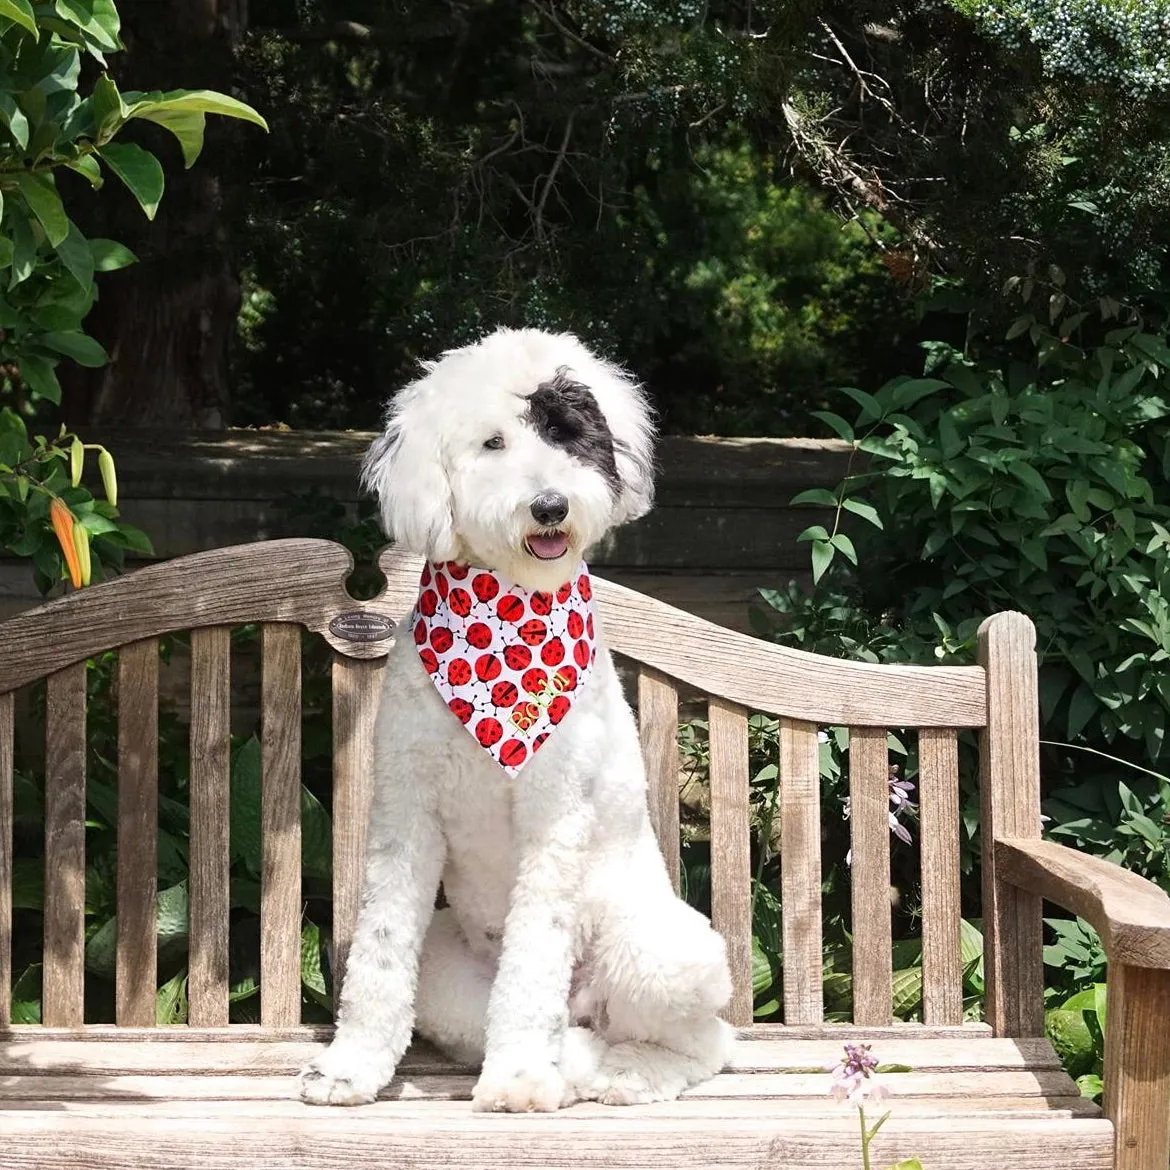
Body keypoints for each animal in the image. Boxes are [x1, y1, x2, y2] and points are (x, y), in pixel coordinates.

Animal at [299, 325, 730, 1109]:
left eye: (567, 432)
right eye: (492, 442)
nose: (551, 506)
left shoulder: (554, 816)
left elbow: (534, 956)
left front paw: (521, 1080)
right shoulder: (403, 806)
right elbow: (379, 949)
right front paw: (348, 1068)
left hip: (665, 952)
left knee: (705, 1043)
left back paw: (627, 1074)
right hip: (447, 975)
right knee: (562, 1032)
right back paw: (577, 1063)